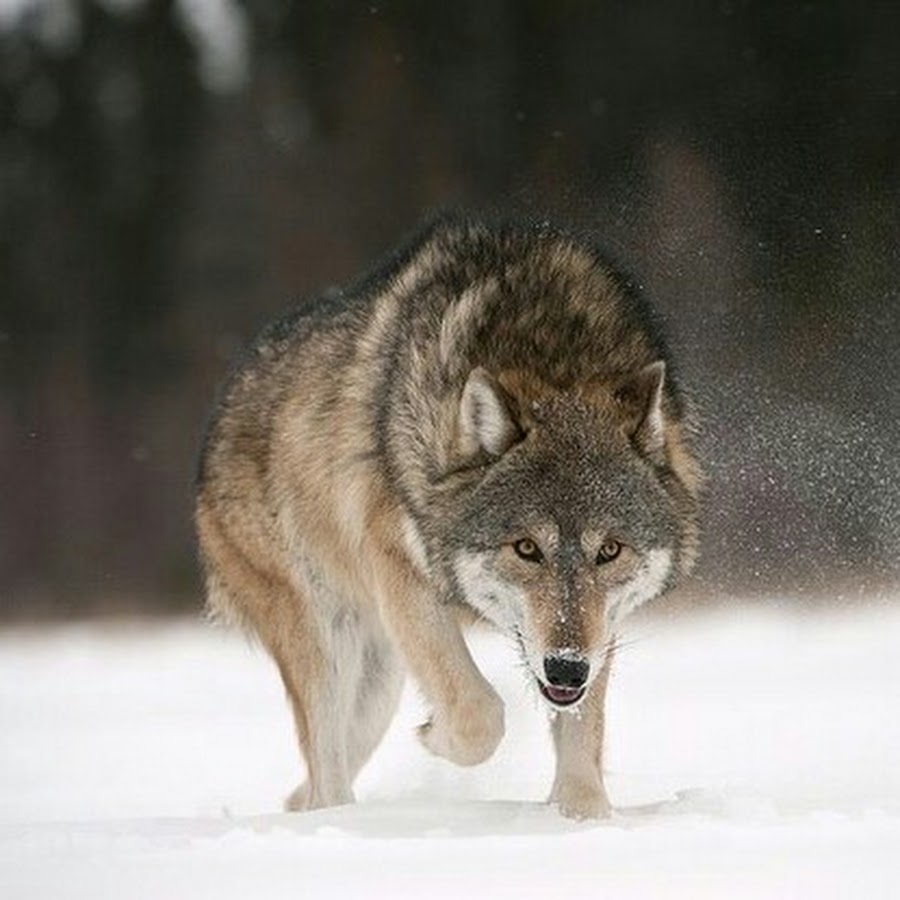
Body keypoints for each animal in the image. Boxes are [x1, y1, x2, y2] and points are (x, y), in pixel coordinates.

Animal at [195, 214, 704, 820]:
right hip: (327, 644)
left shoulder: (600, 634)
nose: (565, 667)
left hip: (377, 683)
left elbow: (582, 739)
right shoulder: (396, 566)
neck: (550, 353)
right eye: (526, 548)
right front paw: (434, 734)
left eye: (610, 551)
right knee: (326, 775)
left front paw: (579, 817)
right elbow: (477, 714)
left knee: (310, 785)